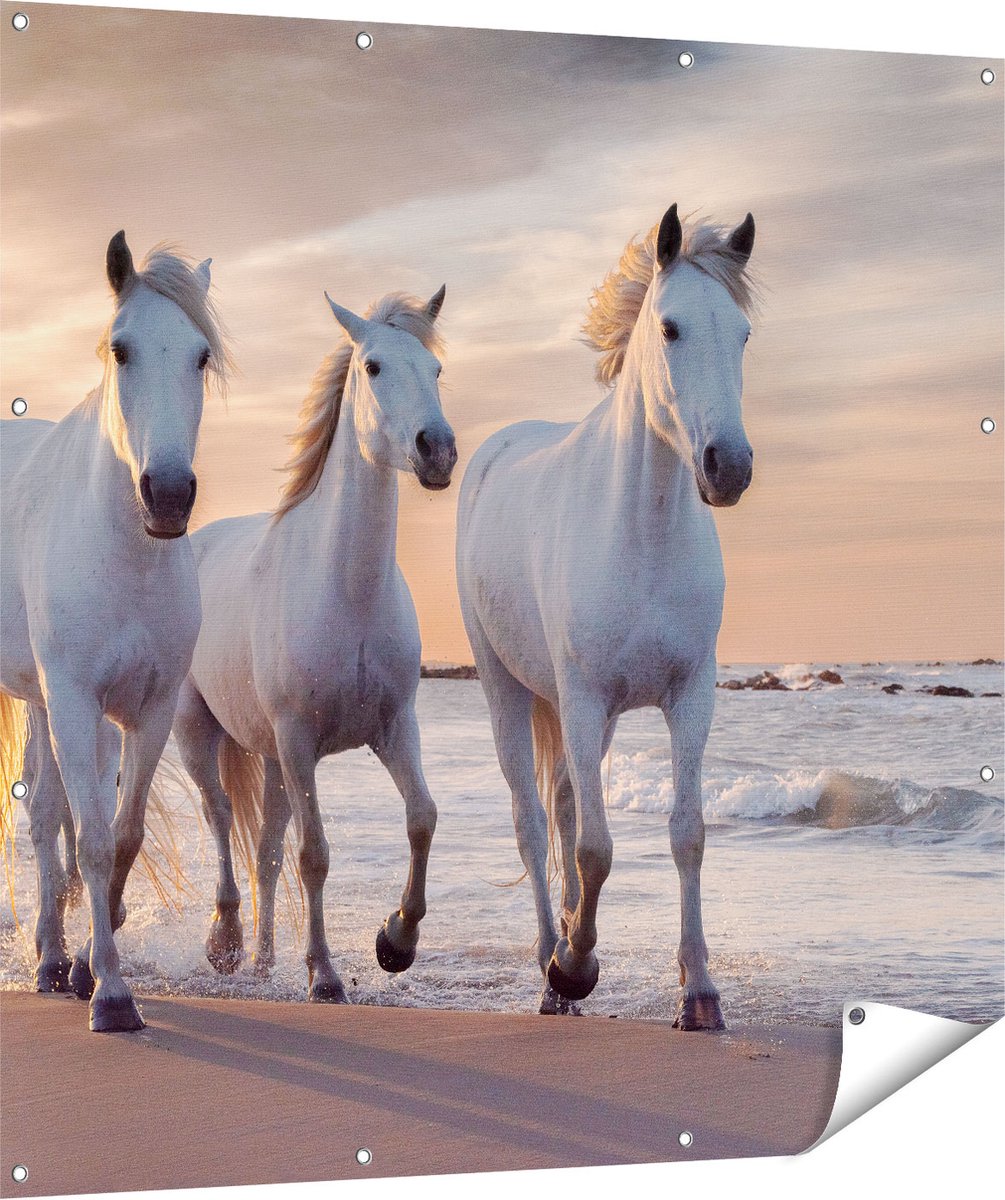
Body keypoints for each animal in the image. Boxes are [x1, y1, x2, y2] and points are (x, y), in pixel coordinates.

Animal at [0, 232, 229, 1031]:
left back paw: (52, 957)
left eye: (200, 355)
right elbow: (94, 840)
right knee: (48, 818)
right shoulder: (73, 698)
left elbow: (119, 831)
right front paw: (112, 995)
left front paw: (96, 957)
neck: (126, 554)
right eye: (122, 350)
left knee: (48, 810)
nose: (168, 495)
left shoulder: (148, 709)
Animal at [173, 285, 455, 1002]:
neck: (345, 592)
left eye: (436, 369)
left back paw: (265, 959)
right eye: (374, 367)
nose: (436, 450)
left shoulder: (394, 727)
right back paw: (226, 942)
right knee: (221, 817)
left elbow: (422, 817)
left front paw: (395, 941)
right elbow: (315, 855)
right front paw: (324, 974)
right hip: (199, 731)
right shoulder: (300, 741)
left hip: (272, 760)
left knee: (265, 850)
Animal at [456, 203, 757, 1028]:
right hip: (507, 688)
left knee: (561, 806)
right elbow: (595, 849)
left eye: (743, 335)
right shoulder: (585, 697)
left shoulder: (689, 696)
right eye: (671, 328)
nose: (729, 467)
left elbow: (686, 834)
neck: (643, 532)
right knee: (533, 823)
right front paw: (574, 966)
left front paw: (699, 992)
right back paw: (547, 964)